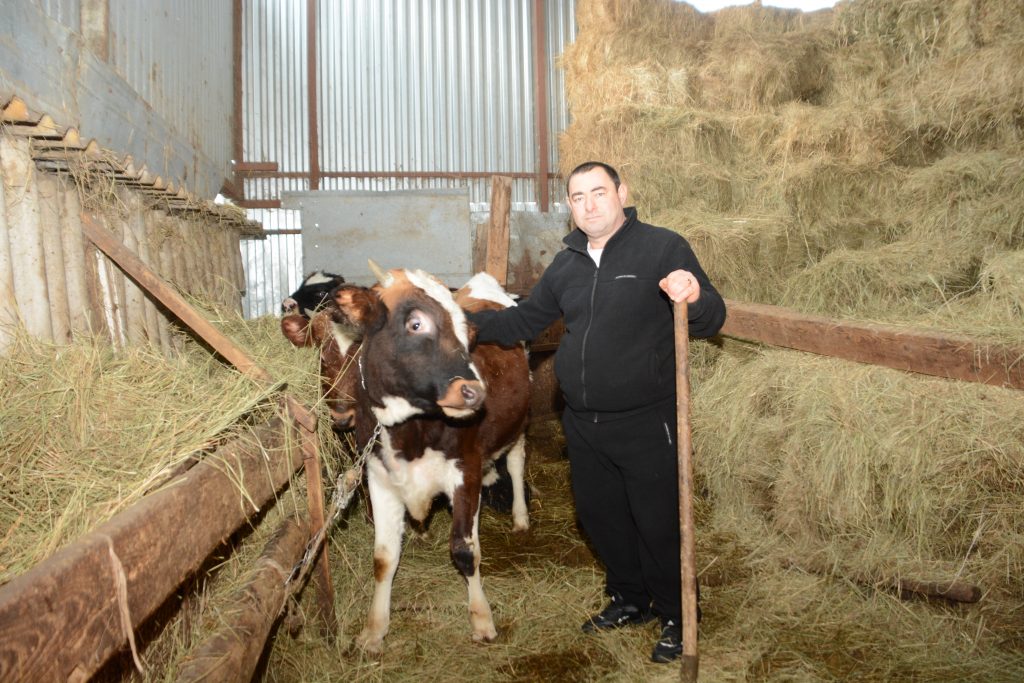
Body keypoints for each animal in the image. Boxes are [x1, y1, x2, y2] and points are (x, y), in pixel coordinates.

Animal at [330, 263, 530, 653]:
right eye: (416, 324)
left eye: (469, 334)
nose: (473, 392)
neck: (411, 432)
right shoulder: (380, 479)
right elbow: (383, 558)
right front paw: (373, 630)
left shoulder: (464, 471)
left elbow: (465, 551)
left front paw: (482, 619)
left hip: (518, 426)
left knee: (515, 464)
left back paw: (521, 517)